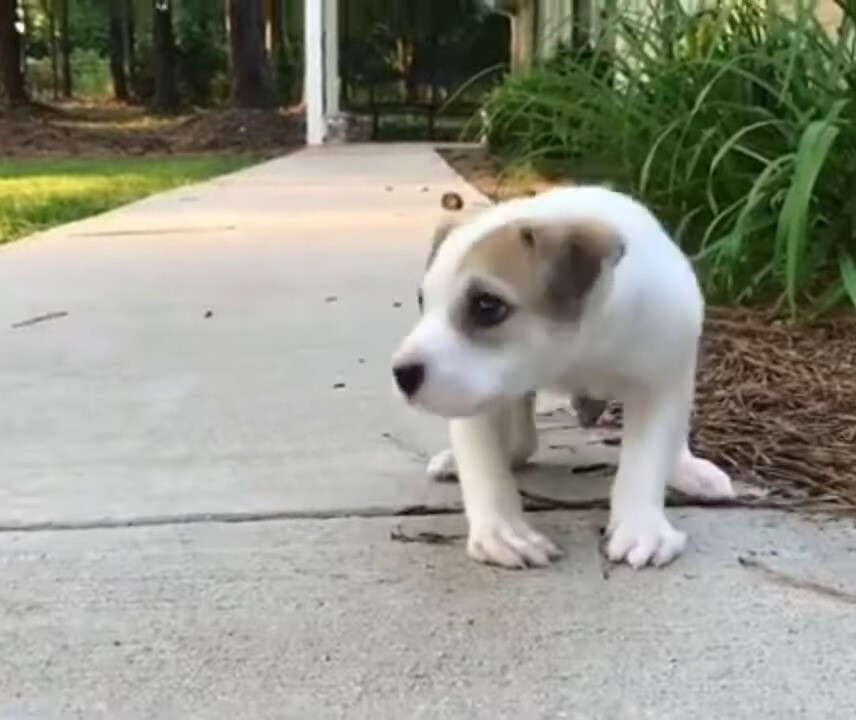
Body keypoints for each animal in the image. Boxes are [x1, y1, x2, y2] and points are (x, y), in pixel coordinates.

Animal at [394, 188, 736, 572]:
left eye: (487, 306)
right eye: (422, 301)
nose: (401, 374)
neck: (577, 351)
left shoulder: (659, 382)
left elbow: (646, 460)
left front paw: (640, 527)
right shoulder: (479, 401)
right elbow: (484, 464)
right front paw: (502, 530)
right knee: (520, 442)